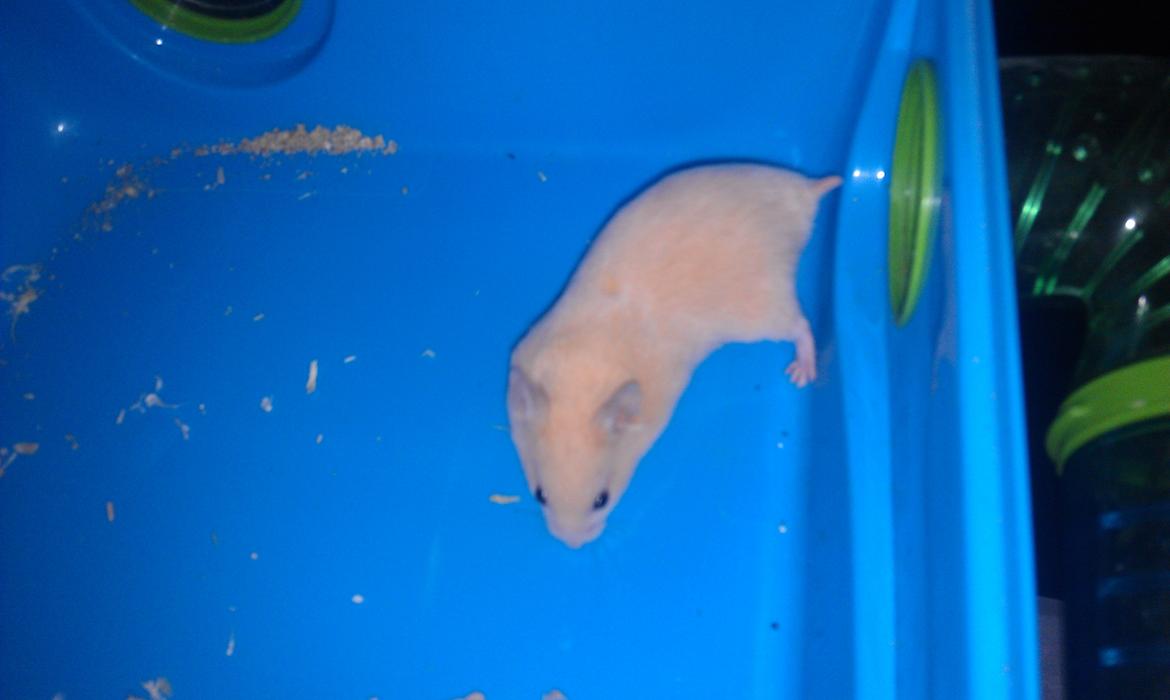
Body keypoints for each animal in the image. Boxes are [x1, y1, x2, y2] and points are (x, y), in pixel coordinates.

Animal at [507, 163, 841, 548]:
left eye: (602, 500)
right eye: (539, 494)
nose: (571, 544)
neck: (584, 374)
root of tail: (803, 194)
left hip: (762, 311)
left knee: (801, 326)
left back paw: (800, 374)